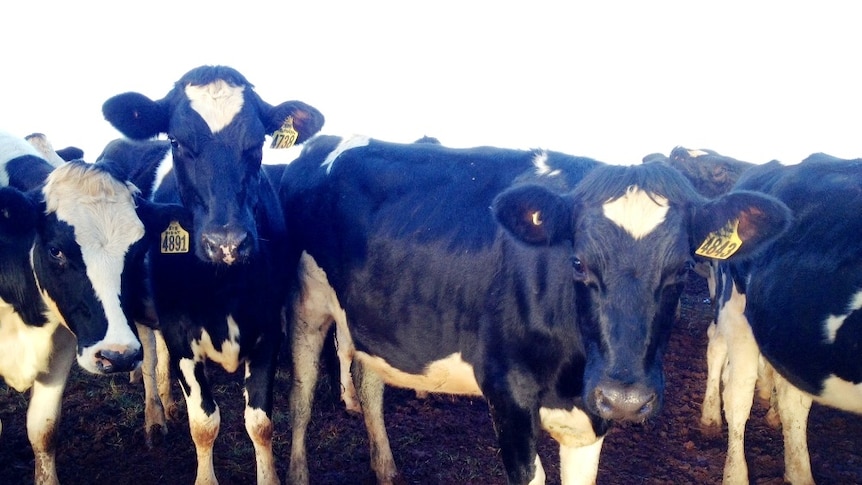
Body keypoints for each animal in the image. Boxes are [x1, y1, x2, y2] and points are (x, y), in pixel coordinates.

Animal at [103, 65, 326, 484]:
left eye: (257, 142)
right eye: (176, 140)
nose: (227, 243)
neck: (223, 289)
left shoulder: (267, 329)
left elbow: (260, 423)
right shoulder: (181, 335)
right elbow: (204, 424)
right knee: (150, 359)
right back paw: (155, 417)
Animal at [280, 135, 792, 484]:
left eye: (683, 267)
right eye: (578, 262)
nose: (626, 399)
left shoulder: (591, 416)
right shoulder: (506, 396)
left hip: (372, 319)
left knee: (369, 385)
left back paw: (386, 468)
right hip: (306, 304)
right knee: (302, 395)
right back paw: (299, 471)